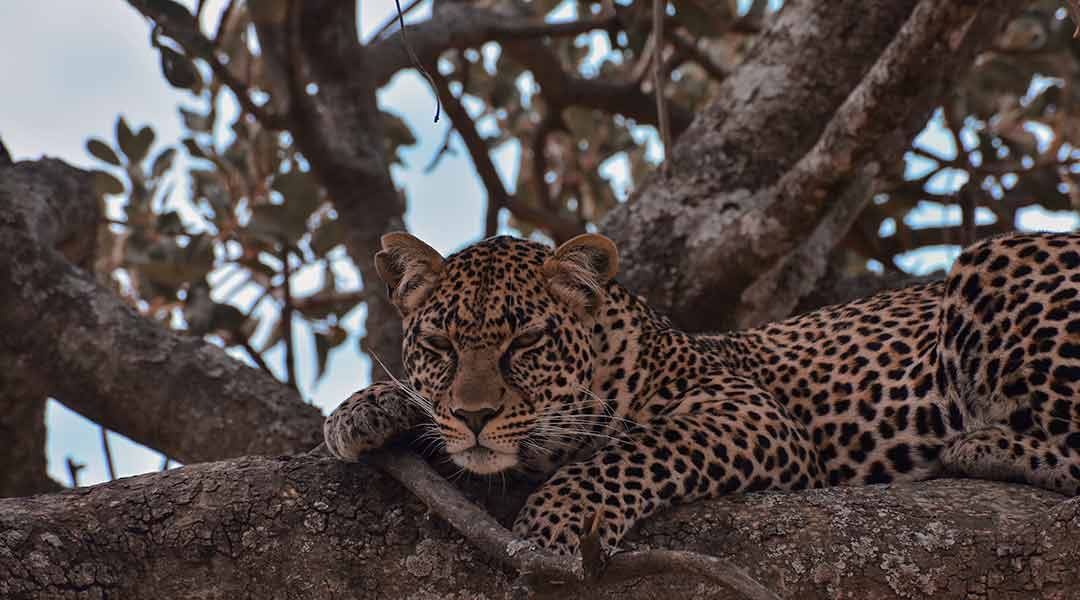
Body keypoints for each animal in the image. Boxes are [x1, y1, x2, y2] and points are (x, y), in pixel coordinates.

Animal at [324, 230, 1080, 556]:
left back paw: (984, 445)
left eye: (527, 342)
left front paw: (555, 523)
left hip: (998, 260)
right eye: (440, 347)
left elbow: (636, 450)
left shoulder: (750, 415)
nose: (476, 415)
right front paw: (361, 410)